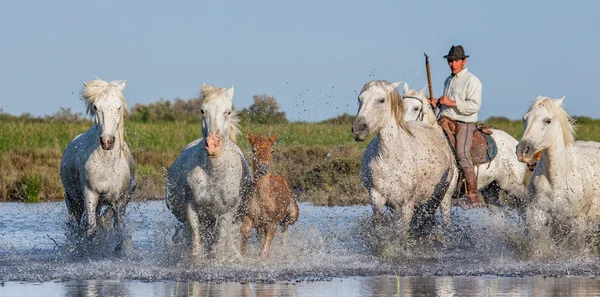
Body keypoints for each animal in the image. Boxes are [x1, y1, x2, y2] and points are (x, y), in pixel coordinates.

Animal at [60, 78, 135, 243]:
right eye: (95, 107)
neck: (107, 163)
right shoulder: (90, 194)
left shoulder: (119, 201)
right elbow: (91, 229)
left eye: (118, 107)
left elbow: (118, 231)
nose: (107, 141)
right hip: (73, 202)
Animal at [166, 82, 253, 256]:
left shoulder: (225, 213)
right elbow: (196, 245)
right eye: (202, 110)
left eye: (228, 111)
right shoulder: (191, 209)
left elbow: (216, 248)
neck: (214, 174)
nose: (213, 144)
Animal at [352, 80, 454, 230]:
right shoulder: (377, 198)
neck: (391, 159)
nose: (358, 129)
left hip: (440, 198)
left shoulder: (407, 205)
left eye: (381, 100)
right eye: (360, 99)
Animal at [512, 96, 600, 251]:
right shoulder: (537, 215)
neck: (557, 180)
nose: (522, 150)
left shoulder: (577, 223)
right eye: (524, 119)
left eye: (548, 120)